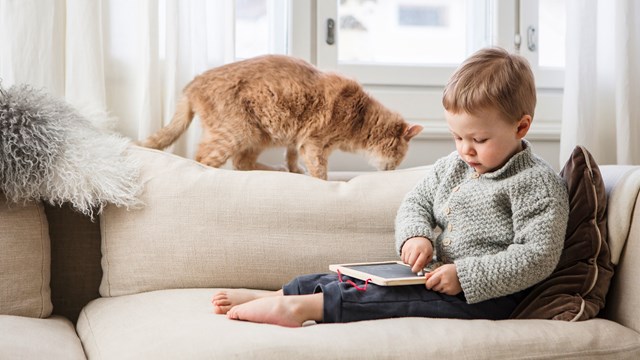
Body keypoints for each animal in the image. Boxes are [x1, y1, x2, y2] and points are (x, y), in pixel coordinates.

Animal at [138, 54, 422, 179]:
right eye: (400, 156)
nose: (394, 170)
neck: (360, 118)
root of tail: (192, 84)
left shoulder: (297, 137)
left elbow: (292, 154)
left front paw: (294, 169)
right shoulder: (314, 142)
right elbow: (319, 170)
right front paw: (320, 181)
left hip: (258, 135)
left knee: (242, 163)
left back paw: (278, 170)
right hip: (238, 133)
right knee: (204, 161)